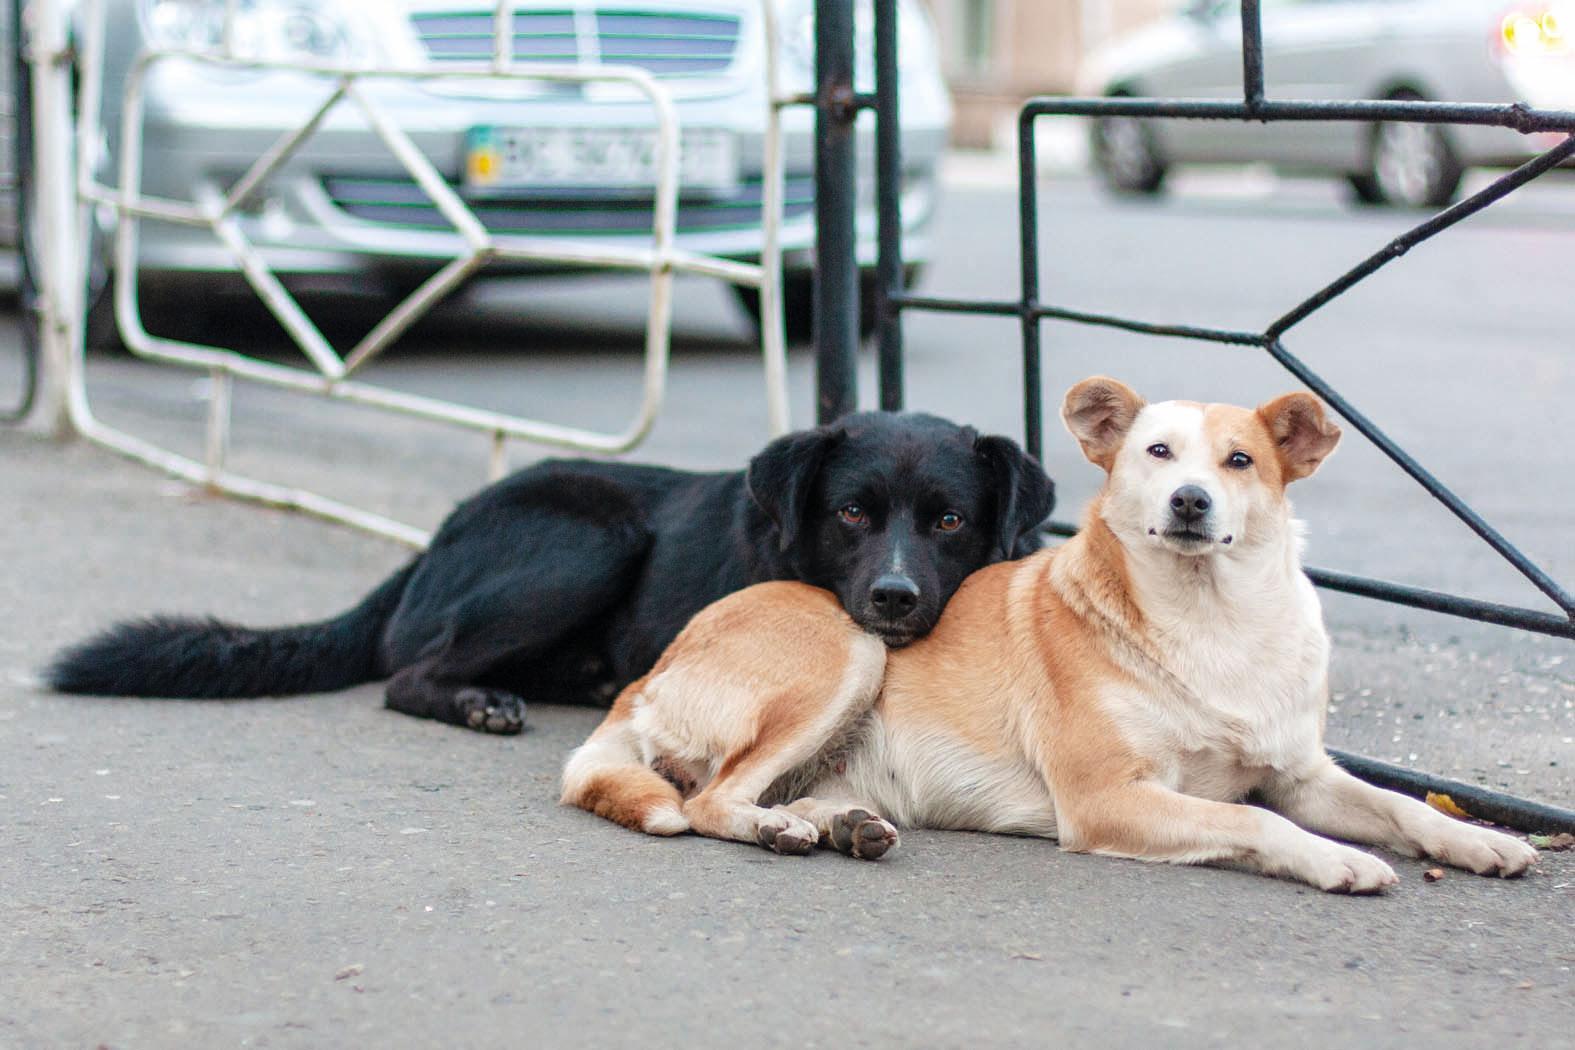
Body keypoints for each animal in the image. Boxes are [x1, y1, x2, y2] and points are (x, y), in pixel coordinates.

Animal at [49, 409, 1052, 730]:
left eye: (950, 521)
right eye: (850, 514)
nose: (893, 597)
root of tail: (439, 534)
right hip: (592, 537)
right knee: (406, 673)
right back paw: (480, 703)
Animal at [560, 382, 1530, 894]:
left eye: (1239, 461)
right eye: (1155, 454)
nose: (1190, 502)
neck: (1214, 623)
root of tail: (653, 670)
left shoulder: (1302, 773)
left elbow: (1398, 806)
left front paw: (1475, 840)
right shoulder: (1112, 799)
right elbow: (1249, 818)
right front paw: (1334, 859)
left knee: (765, 793)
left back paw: (838, 824)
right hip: (854, 650)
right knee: (709, 800)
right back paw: (779, 830)